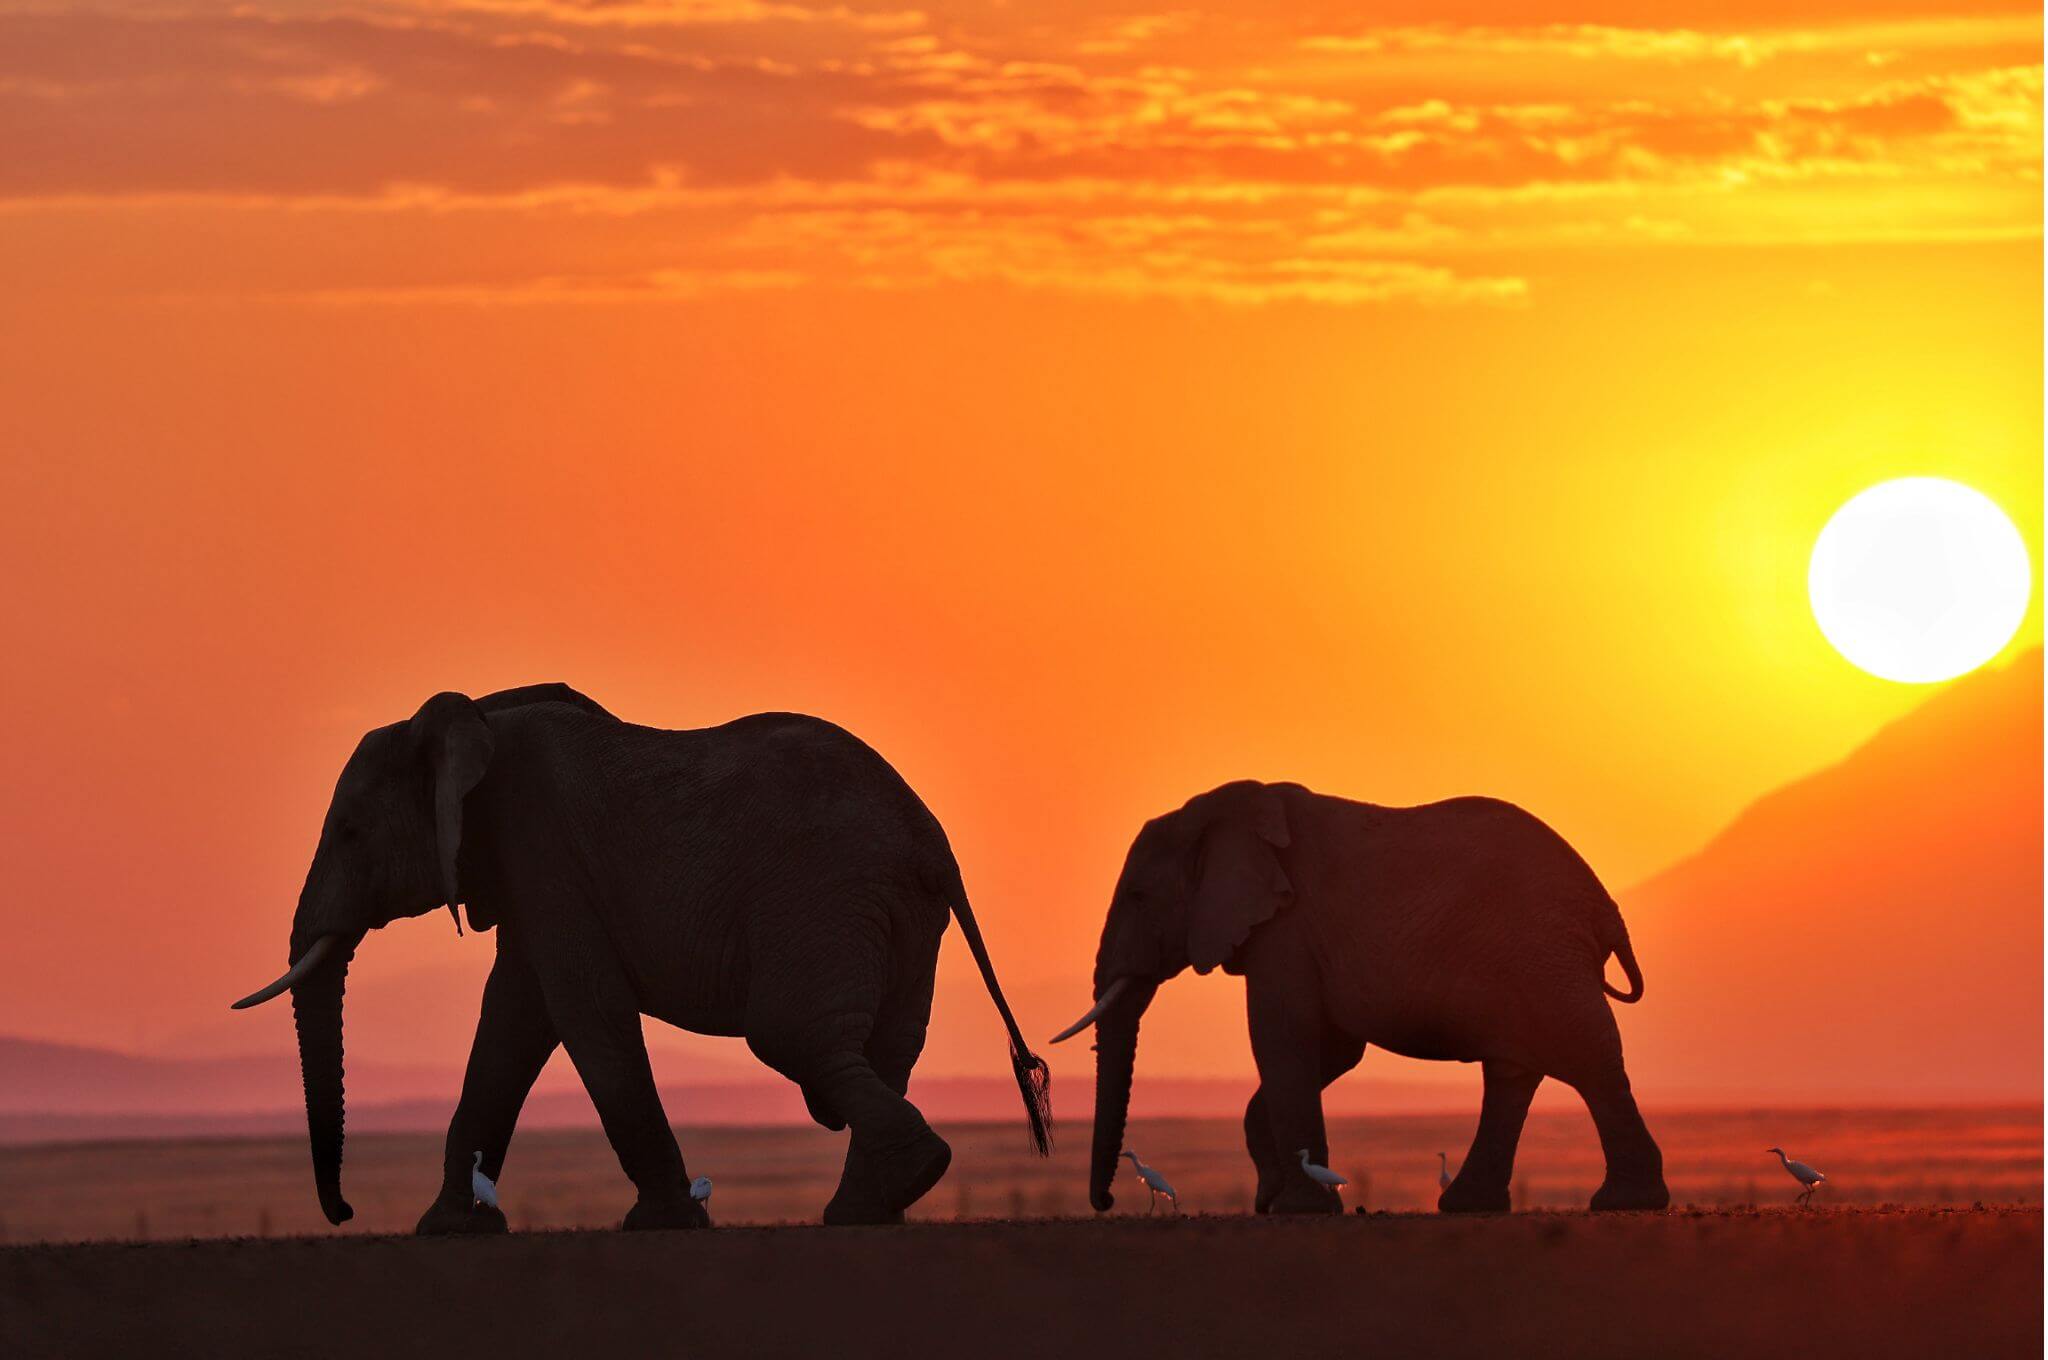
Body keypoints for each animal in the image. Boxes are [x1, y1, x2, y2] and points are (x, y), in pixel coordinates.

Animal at [232, 684, 1048, 1228]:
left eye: (349, 833)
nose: (342, 1212)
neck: (475, 718)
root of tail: (933, 842)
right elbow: (512, 1021)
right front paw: (448, 1230)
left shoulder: (544, 852)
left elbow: (581, 1010)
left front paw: (661, 1223)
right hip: (900, 916)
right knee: (885, 1049)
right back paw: (875, 1204)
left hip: (825, 897)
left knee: (793, 1037)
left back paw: (886, 1191)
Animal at [1056, 782, 1662, 1212]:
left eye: (1138, 896)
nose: (1105, 1201)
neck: (1223, 811)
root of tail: (1606, 910)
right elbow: (1333, 1051)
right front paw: (1269, 1200)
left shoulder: (1287, 929)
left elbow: (1283, 1039)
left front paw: (1298, 1209)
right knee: (1514, 1071)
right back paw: (1468, 1205)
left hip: (1542, 951)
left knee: (1585, 1054)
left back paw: (1623, 1203)